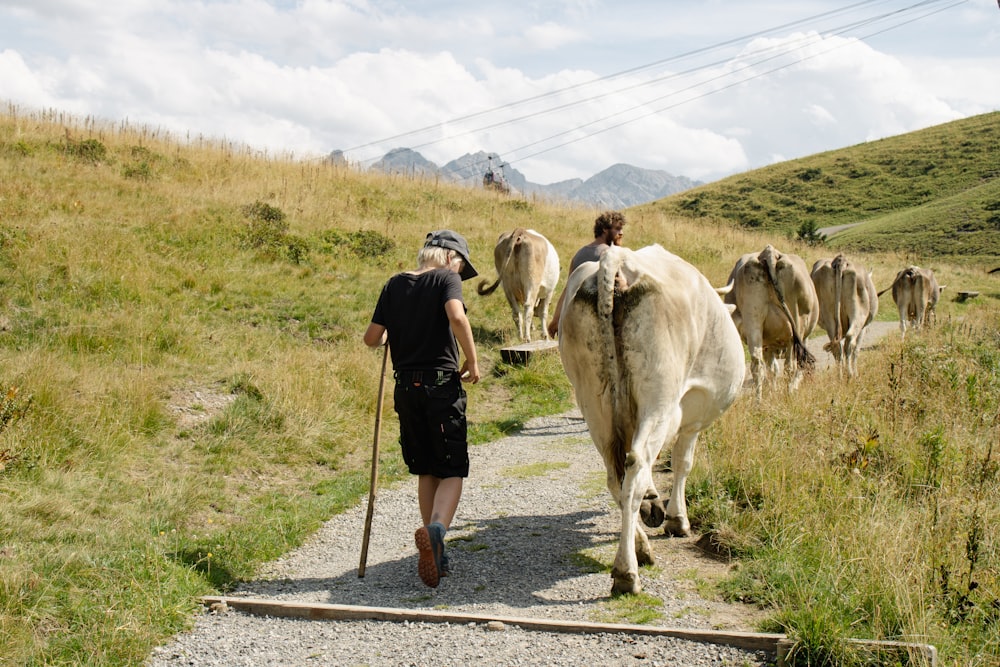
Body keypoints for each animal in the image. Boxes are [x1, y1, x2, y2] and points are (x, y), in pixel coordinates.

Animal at [560, 244, 748, 596]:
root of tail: (617, 260)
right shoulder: (691, 419)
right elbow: (682, 463)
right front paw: (677, 519)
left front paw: (653, 505)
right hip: (659, 395)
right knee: (634, 468)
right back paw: (627, 572)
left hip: (593, 400)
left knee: (616, 475)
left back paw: (640, 545)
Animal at [728, 247, 820, 400]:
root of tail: (769, 252)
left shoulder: (767, 345)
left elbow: (772, 370)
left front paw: (772, 393)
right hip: (796, 324)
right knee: (791, 366)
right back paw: (788, 395)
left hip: (753, 320)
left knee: (757, 366)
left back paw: (758, 401)